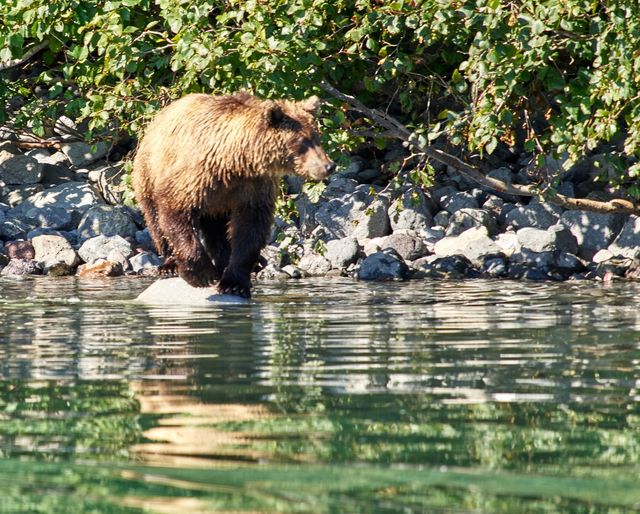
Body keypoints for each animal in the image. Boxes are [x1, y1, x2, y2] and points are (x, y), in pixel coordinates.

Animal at [133, 92, 338, 296]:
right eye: (302, 141)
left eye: (317, 137)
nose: (328, 166)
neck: (236, 162)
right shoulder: (197, 176)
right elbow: (176, 210)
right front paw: (202, 275)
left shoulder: (253, 187)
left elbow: (250, 228)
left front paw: (234, 282)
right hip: (149, 171)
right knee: (156, 220)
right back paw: (170, 265)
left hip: (216, 205)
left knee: (216, 229)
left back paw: (235, 262)